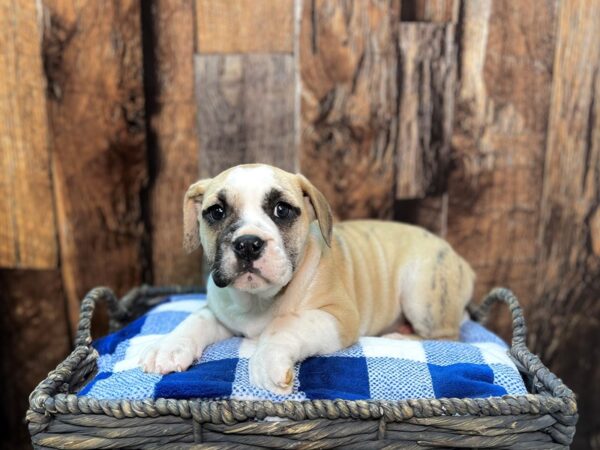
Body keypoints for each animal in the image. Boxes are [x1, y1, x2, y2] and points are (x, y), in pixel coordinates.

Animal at [139, 163, 474, 392]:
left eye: (282, 210)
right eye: (216, 212)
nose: (248, 243)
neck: (258, 300)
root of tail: (461, 262)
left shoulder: (338, 317)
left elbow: (286, 324)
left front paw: (267, 361)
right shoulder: (217, 312)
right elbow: (194, 320)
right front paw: (168, 347)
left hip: (420, 290)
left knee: (447, 337)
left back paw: (399, 335)